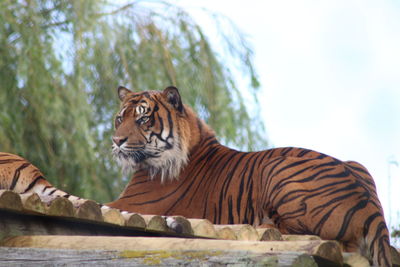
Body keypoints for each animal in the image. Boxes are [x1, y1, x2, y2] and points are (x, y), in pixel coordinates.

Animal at [0, 87, 392, 266]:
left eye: (143, 118)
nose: (117, 140)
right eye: (119, 118)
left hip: (282, 170)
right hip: (359, 164)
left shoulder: (128, 203)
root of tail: (371, 207)